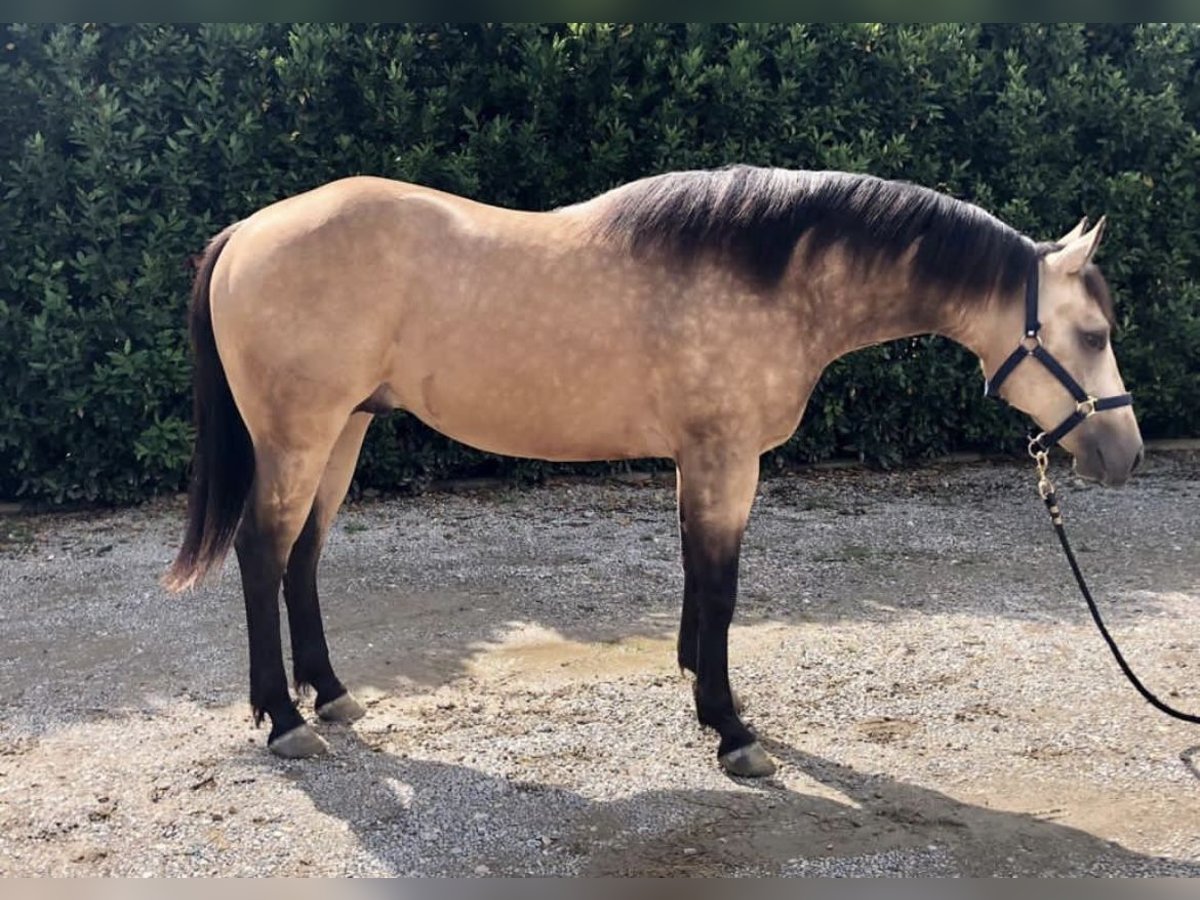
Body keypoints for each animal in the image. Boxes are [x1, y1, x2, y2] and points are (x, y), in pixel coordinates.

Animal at [162, 168, 1142, 777]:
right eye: (1092, 334)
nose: (1124, 453)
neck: (774, 276)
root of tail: (248, 231)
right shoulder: (728, 457)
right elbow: (722, 585)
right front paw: (732, 728)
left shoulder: (698, 460)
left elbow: (696, 576)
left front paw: (696, 685)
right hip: (301, 435)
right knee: (262, 550)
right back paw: (284, 721)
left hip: (344, 433)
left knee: (303, 556)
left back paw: (328, 696)